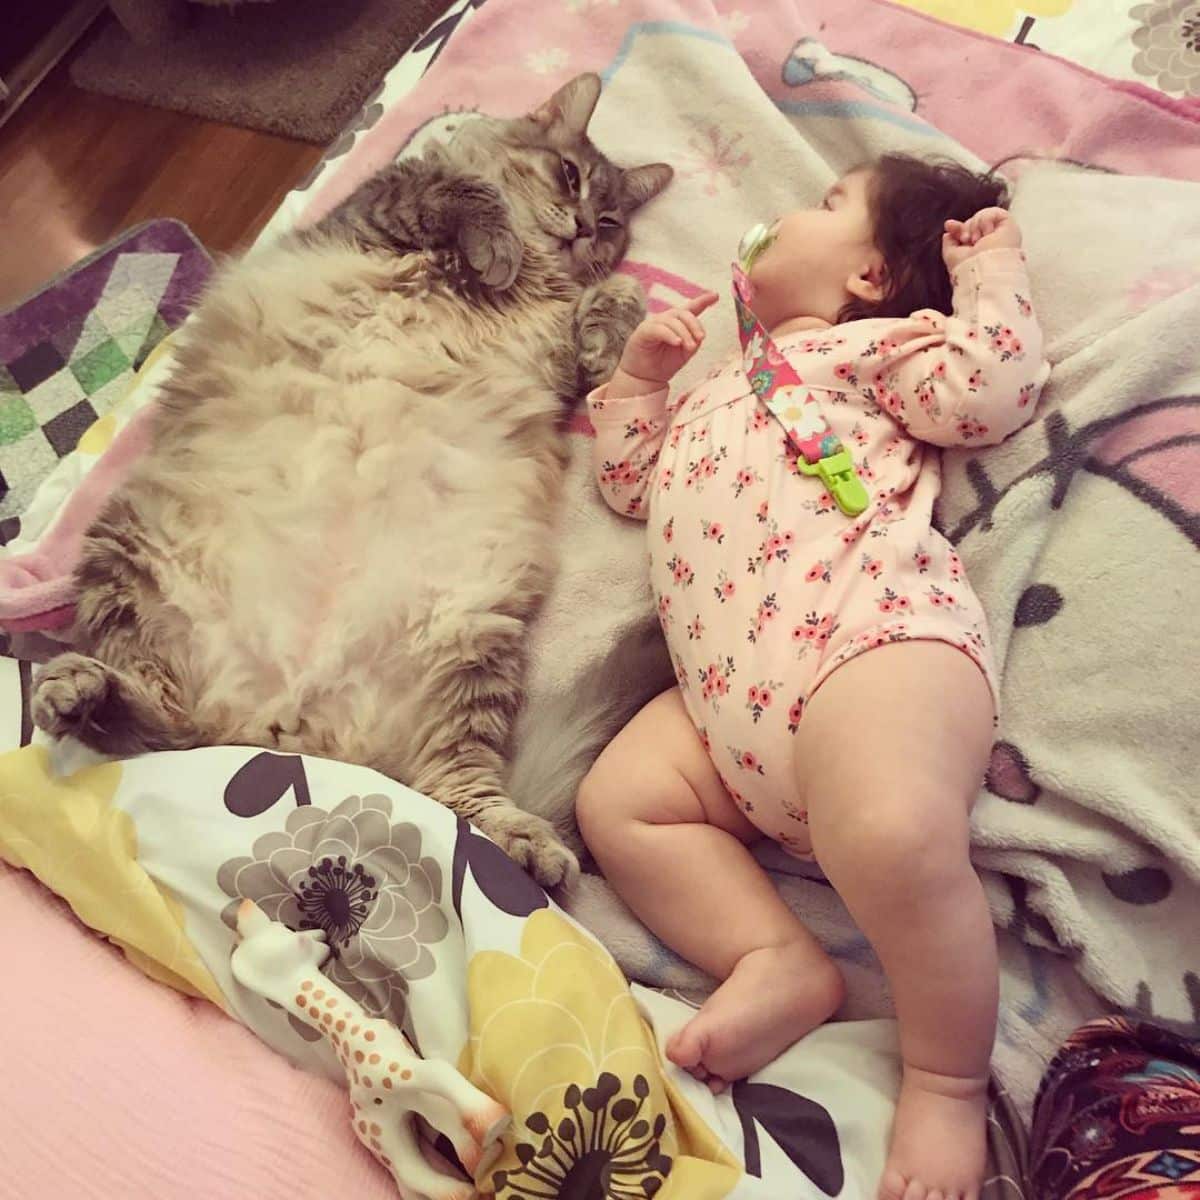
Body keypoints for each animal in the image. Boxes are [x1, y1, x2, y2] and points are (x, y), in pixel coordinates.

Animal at [32, 70, 672, 888]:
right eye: (570, 177)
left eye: (612, 220)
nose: (586, 228)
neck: (539, 271)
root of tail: (289, 733)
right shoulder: (386, 206)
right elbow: (464, 196)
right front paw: (499, 245)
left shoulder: (565, 361)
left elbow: (607, 332)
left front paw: (627, 307)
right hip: (129, 551)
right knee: (160, 727)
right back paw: (82, 691)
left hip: (472, 642)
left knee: (456, 796)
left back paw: (526, 848)